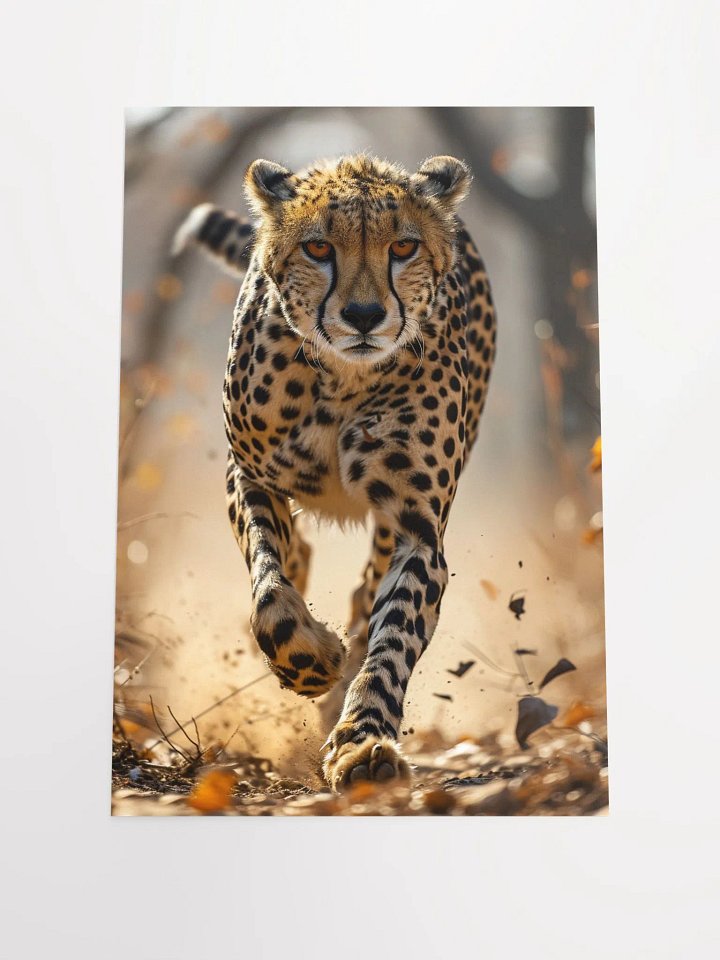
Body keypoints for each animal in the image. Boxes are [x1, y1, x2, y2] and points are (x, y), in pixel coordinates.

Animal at [173, 153, 497, 791]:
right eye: (318, 248)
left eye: (404, 246)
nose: (365, 315)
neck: (342, 379)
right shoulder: (250, 476)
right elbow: (270, 591)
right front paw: (311, 656)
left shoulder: (417, 529)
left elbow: (391, 637)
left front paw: (362, 742)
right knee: (296, 560)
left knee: (364, 597)